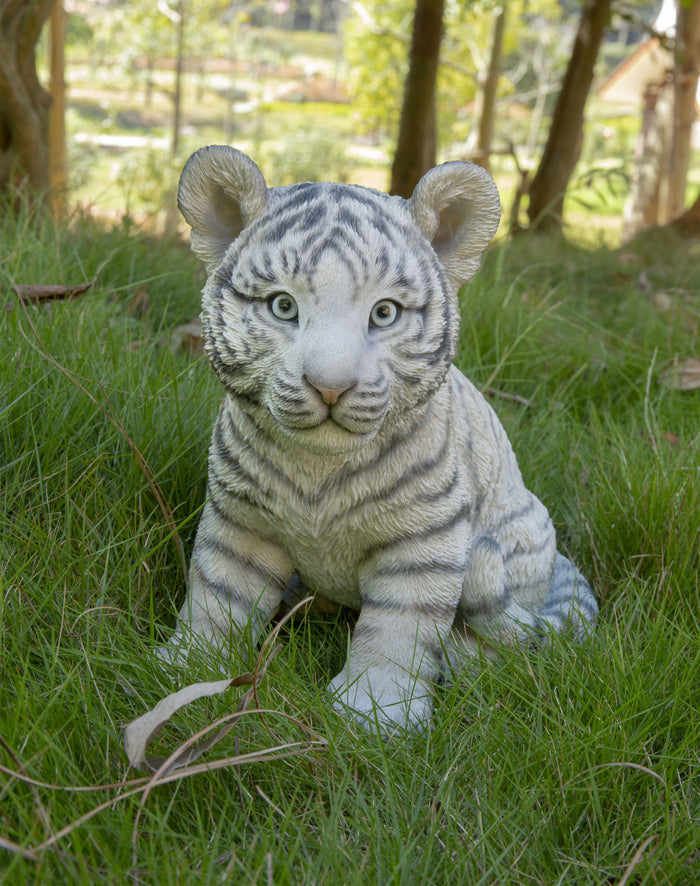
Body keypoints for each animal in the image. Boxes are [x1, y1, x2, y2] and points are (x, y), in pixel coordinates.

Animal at [161, 144, 598, 733]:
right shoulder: (242, 519)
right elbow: (217, 593)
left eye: (384, 313)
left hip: (520, 533)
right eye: (282, 306)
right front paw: (187, 668)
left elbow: (398, 629)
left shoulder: (424, 539)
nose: (330, 387)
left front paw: (372, 715)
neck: (318, 468)